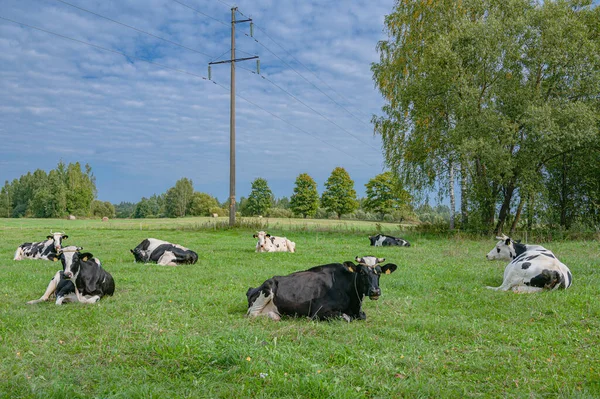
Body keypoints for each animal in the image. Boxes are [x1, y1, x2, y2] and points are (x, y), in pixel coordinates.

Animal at [246, 256, 396, 322]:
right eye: (362, 272)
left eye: (379, 272)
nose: (375, 291)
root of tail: (252, 289)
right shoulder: (319, 311)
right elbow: (347, 318)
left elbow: (362, 316)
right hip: (267, 288)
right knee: (252, 314)